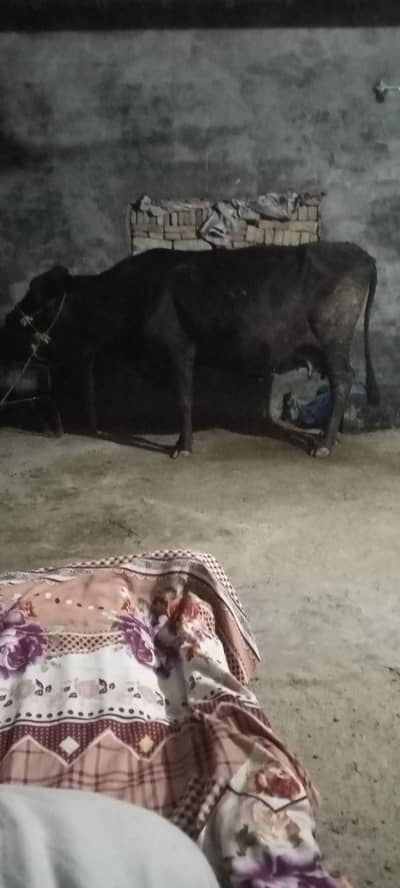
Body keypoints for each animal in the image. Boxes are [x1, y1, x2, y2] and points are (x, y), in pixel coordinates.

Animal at [5, 241, 379, 458]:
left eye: (40, 301)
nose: (8, 319)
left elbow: (184, 399)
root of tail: (360, 253)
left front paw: (182, 447)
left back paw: (325, 444)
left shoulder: (179, 348)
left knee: (343, 381)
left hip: (333, 339)